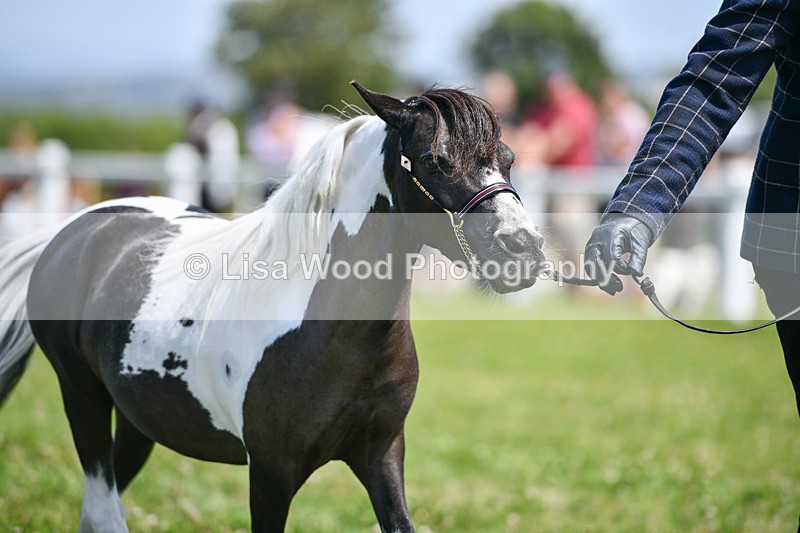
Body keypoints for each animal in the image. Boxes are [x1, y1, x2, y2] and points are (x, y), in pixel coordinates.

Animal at [0, 82, 545, 532]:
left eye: (509, 158)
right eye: (434, 162)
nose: (524, 250)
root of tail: (74, 230)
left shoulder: (383, 455)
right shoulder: (270, 472)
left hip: (138, 418)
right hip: (82, 394)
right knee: (102, 511)